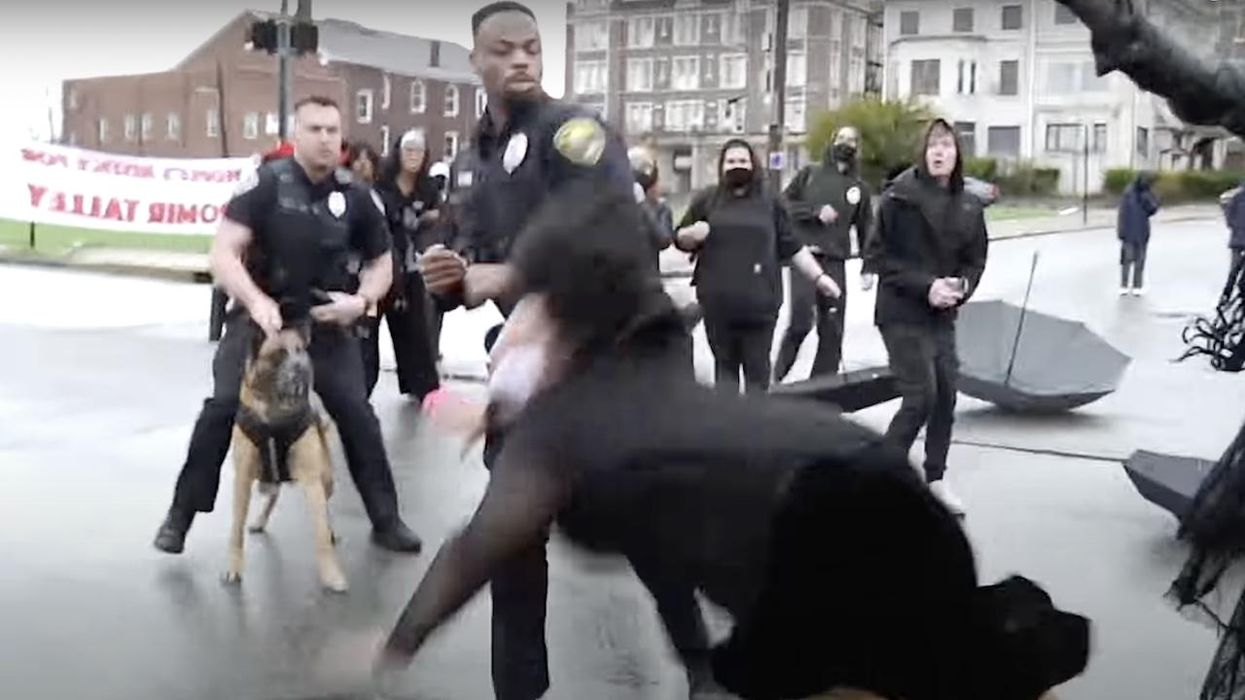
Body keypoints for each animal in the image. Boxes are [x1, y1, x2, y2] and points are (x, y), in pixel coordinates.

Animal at [221, 323, 348, 590]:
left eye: (300, 350)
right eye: (279, 354)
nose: (302, 368)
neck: (274, 411)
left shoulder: (312, 479)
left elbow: (321, 534)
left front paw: (332, 574)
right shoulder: (243, 478)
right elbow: (236, 529)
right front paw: (234, 567)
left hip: (326, 479)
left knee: (324, 508)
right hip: (267, 476)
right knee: (273, 494)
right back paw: (260, 520)